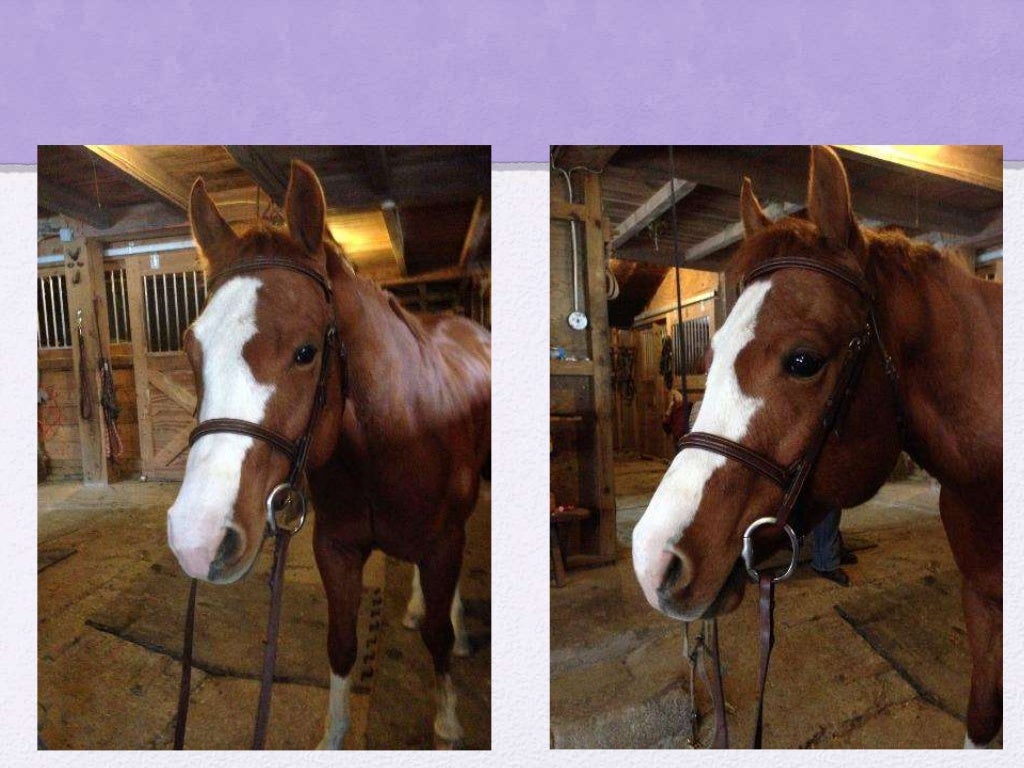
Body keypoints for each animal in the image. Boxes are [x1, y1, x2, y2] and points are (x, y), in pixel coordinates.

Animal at [165, 160, 491, 748]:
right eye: (190, 347)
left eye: (306, 351)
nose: (196, 539)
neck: (392, 441)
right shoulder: (335, 549)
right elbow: (341, 643)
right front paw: (333, 735)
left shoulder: (442, 543)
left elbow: (436, 634)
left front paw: (448, 721)